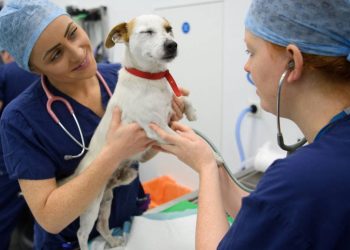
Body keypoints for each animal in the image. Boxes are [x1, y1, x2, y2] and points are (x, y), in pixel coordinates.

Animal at [62, 14, 197, 250]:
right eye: (147, 32)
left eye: (169, 29)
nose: (172, 45)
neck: (151, 79)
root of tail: (79, 172)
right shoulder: (156, 128)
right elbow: (181, 138)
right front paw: (211, 155)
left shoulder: (168, 113)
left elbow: (181, 97)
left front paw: (191, 111)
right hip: (91, 205)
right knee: (82, 233)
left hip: (107, 198)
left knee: (102, 225)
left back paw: (112, 240)